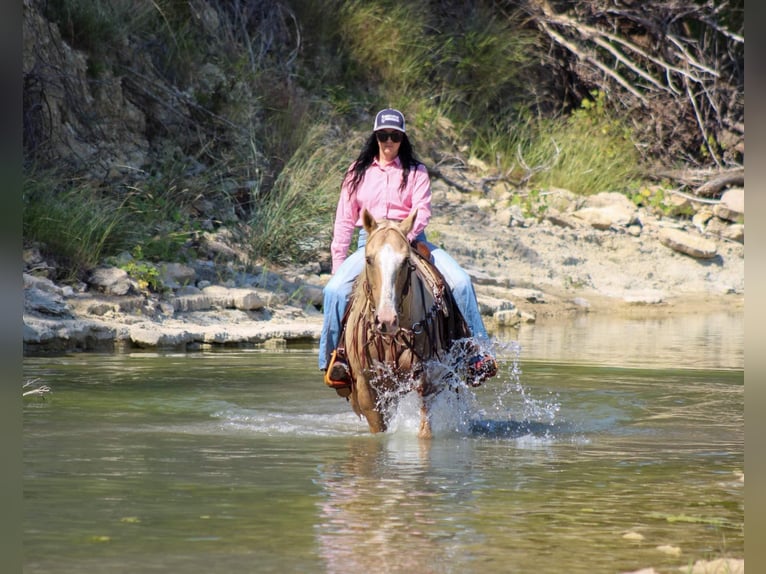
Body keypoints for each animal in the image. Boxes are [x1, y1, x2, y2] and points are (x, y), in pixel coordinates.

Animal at [340, 209, 474, 438]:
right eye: (368, 259)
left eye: (404, 261)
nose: (386, 320)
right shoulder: (367, 386)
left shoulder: (427, 380)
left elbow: (425, 431)